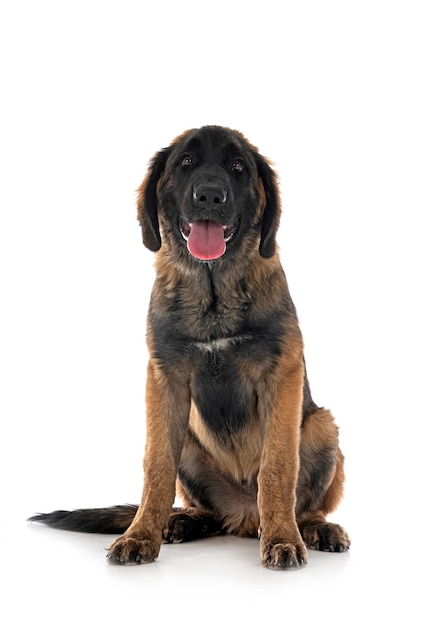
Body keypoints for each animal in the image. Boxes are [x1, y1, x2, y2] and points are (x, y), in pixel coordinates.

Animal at [28, 124, 350, 568]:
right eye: (185, 162)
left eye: (238, 166)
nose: (210, 196)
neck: (213, 291)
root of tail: (245, 517)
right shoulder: (165, 381)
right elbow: (156, 467)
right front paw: (141, 534)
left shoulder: (282, 376)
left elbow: (278, 467)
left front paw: (283, 538)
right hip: (190, 446)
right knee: (205, 509)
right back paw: (183, 521)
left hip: (321, 426)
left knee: (307, 504)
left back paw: (314, 528)